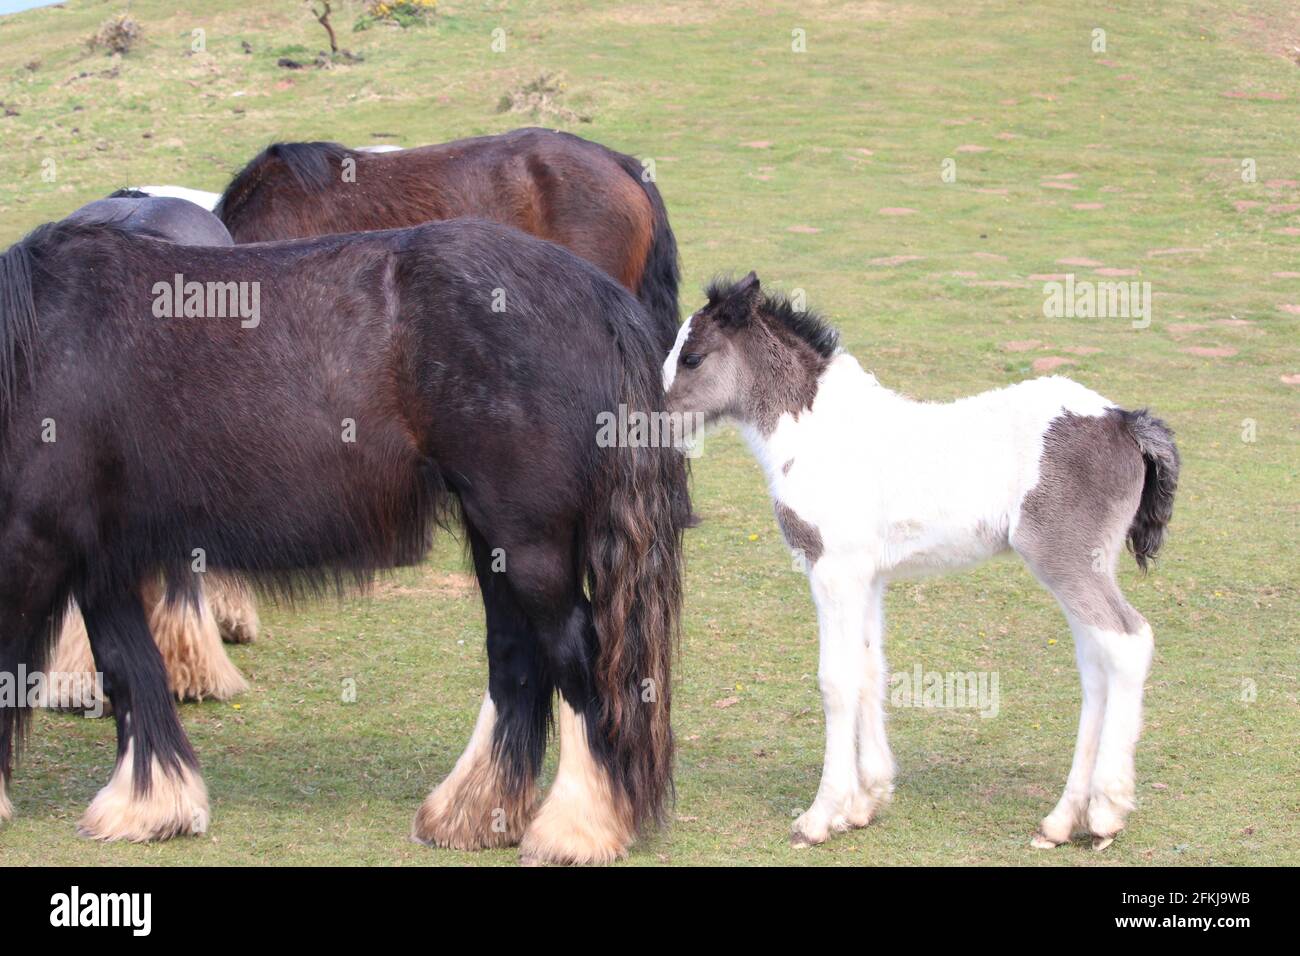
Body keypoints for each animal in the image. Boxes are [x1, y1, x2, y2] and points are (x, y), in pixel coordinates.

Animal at [0, 218, 686, 868]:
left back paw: (575, 829)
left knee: (574, 653)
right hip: (494, 537)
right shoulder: (99, 559)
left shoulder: (35, 543)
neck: (36, 349)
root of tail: (594, 293)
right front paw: (149, 806)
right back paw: (470, 815)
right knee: (516, 657)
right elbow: (128, 667)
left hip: (528, 540)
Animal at [665, 274, 1185, 853]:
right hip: (1086, 565)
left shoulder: (833, 570)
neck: (819, 433)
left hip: (1066, 560)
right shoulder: (866, 576)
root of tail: (1125, 421)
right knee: (1097, 665)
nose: (655, 421)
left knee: (1128, 642)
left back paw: (1106, 812)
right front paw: (865, 803)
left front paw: (820, 816)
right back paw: (1060, 820)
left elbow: (836, 680)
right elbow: (870, 668)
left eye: (692, 357)